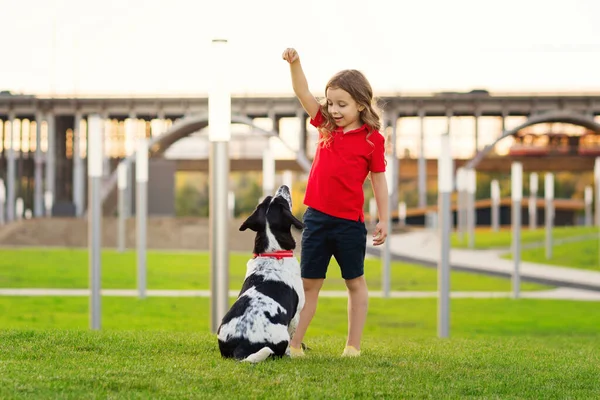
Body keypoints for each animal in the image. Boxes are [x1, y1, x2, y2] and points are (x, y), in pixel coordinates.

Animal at [216, 186, 304, 364]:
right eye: (281, 201)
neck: (273, 253)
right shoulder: (296, 315)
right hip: (281, 336)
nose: (283, 186)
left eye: (268, 198)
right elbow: (293, 337)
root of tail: (241, 346)